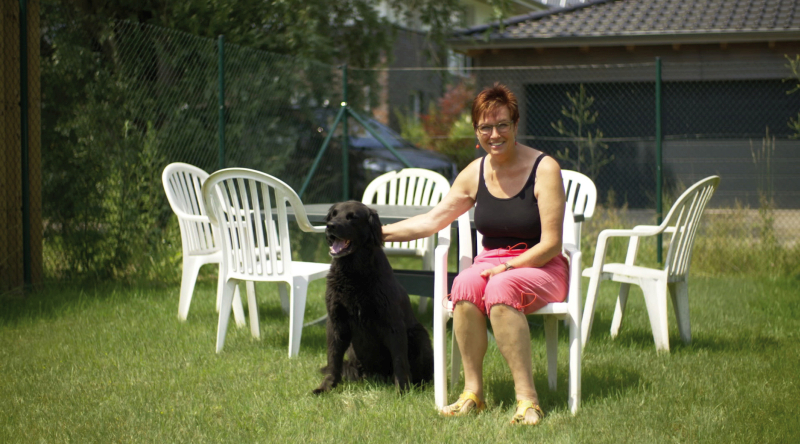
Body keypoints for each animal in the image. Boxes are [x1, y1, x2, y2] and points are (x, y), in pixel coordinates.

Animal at [312, 199, 434, 394]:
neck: (352, 274)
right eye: (333, 215)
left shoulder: (393, 323)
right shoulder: (336, 321)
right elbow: (333, 359)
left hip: (419, 334)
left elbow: (400, 361)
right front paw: (327, 387)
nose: (330, 226)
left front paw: (402, 390)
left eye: (352, 217)